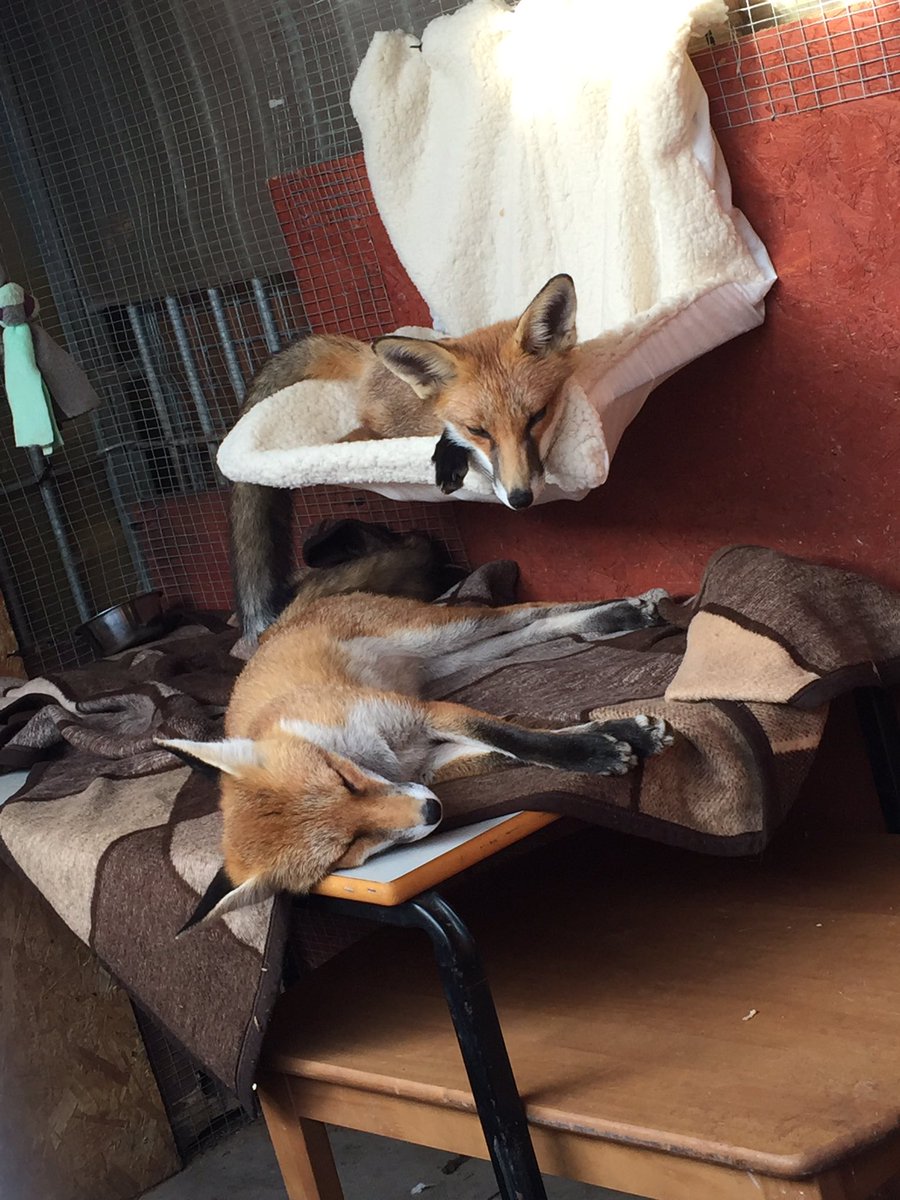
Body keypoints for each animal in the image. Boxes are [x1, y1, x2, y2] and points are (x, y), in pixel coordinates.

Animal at [157, 584, 672, 932]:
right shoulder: (429, 766)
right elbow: (507, 753)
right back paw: (607, 621)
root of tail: (284, 621)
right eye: (350, 848)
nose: (432, 811)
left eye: (344, 779)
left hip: (440, 634)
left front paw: (603, 746)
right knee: (527, 632)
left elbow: (516, 737)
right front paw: (614, 738)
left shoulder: (426, 713)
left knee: (524, 611)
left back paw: (625, 609)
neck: (387, 760)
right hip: (453, 659)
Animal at [230, 273, 580, 644]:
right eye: (478, 431)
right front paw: (449, 457)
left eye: (537, 416)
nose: (520, 498)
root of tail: (368, 354)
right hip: (376, 431)